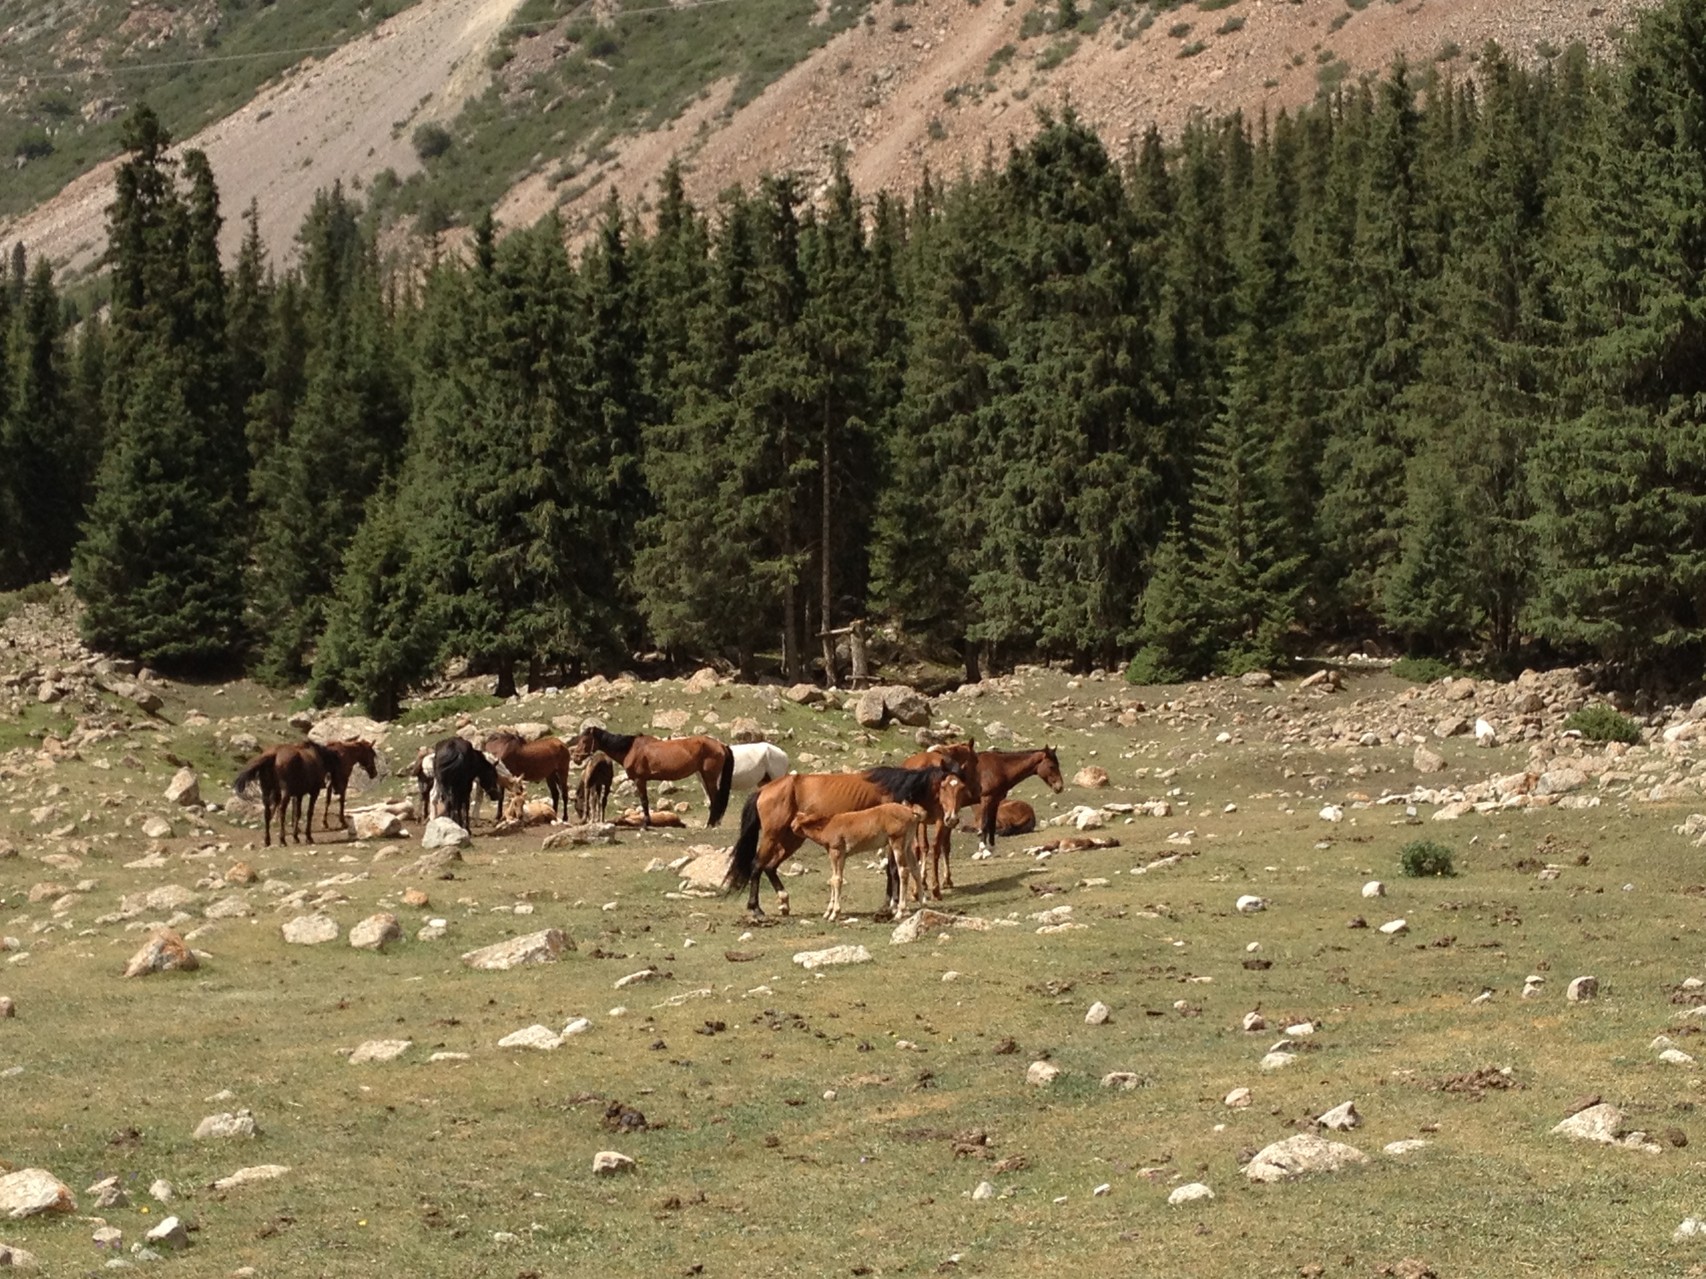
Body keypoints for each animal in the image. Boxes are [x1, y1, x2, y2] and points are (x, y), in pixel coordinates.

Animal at [573, 729, 733, 832]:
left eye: (584, 740)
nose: (576, 757)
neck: (631, 749)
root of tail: (721, 745)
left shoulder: (640, 780)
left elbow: (644, 802)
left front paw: (645, 824)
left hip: (709, 777)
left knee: (715, 799)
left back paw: (711, 824)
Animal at [791, 801, 928, 920]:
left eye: (796, 819)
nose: (791, 826)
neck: (827, 826)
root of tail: (911, 812)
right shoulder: (841, 856)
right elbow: (833, 879)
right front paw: (828, 912)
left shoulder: (836, 852)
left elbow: (837, 880)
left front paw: (834, 913)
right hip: (907, 846)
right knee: (915, 870)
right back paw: (922, 904)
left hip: (897, 843)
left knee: (903, 871)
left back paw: (900, 912)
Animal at [893, 740, 989, 900]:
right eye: (975, 760)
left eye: (961, 788)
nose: (979, 788)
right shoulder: (945, 820)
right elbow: (944, 846)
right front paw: (946, 880)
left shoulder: (929, 821)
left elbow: (925, 847)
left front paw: (923, 881)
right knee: (934, 847)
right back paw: (934, 889)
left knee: (920, 848)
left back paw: (918, 889)